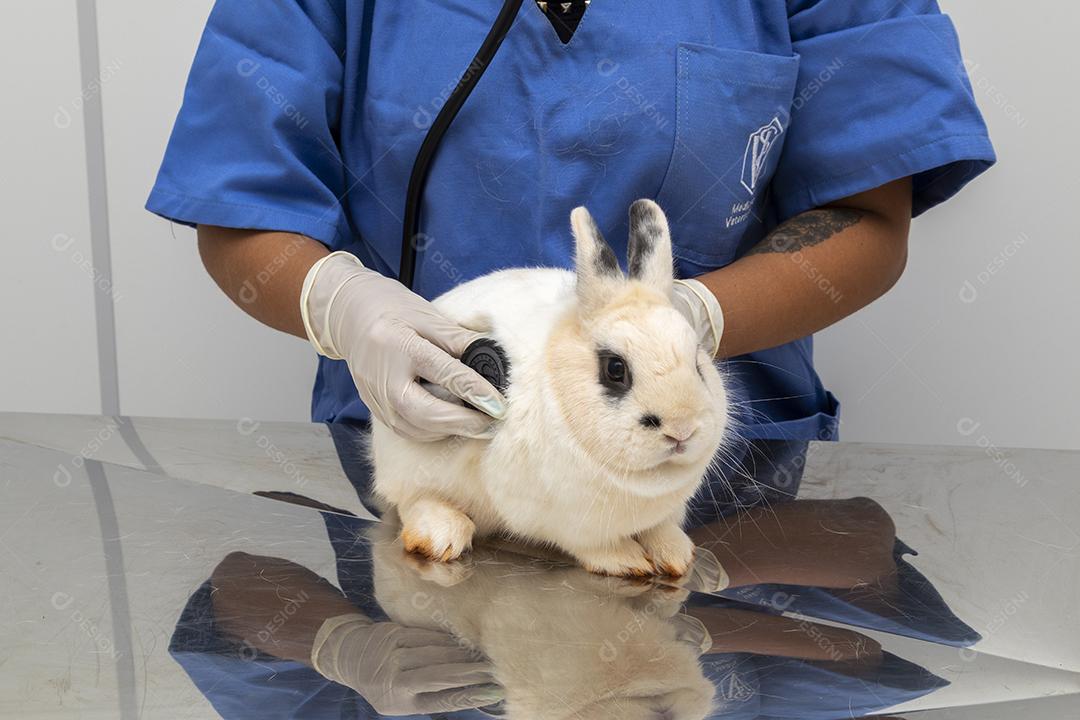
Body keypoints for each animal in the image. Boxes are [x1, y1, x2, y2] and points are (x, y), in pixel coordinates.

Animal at [370, 199, 730, 577]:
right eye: (615, 369)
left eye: (697, 363)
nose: (681, 430)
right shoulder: (561, 522)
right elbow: (593, 546)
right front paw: (628, 562)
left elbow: (659, 528)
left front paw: (676, 555)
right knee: (412, 500)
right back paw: (439, 534)